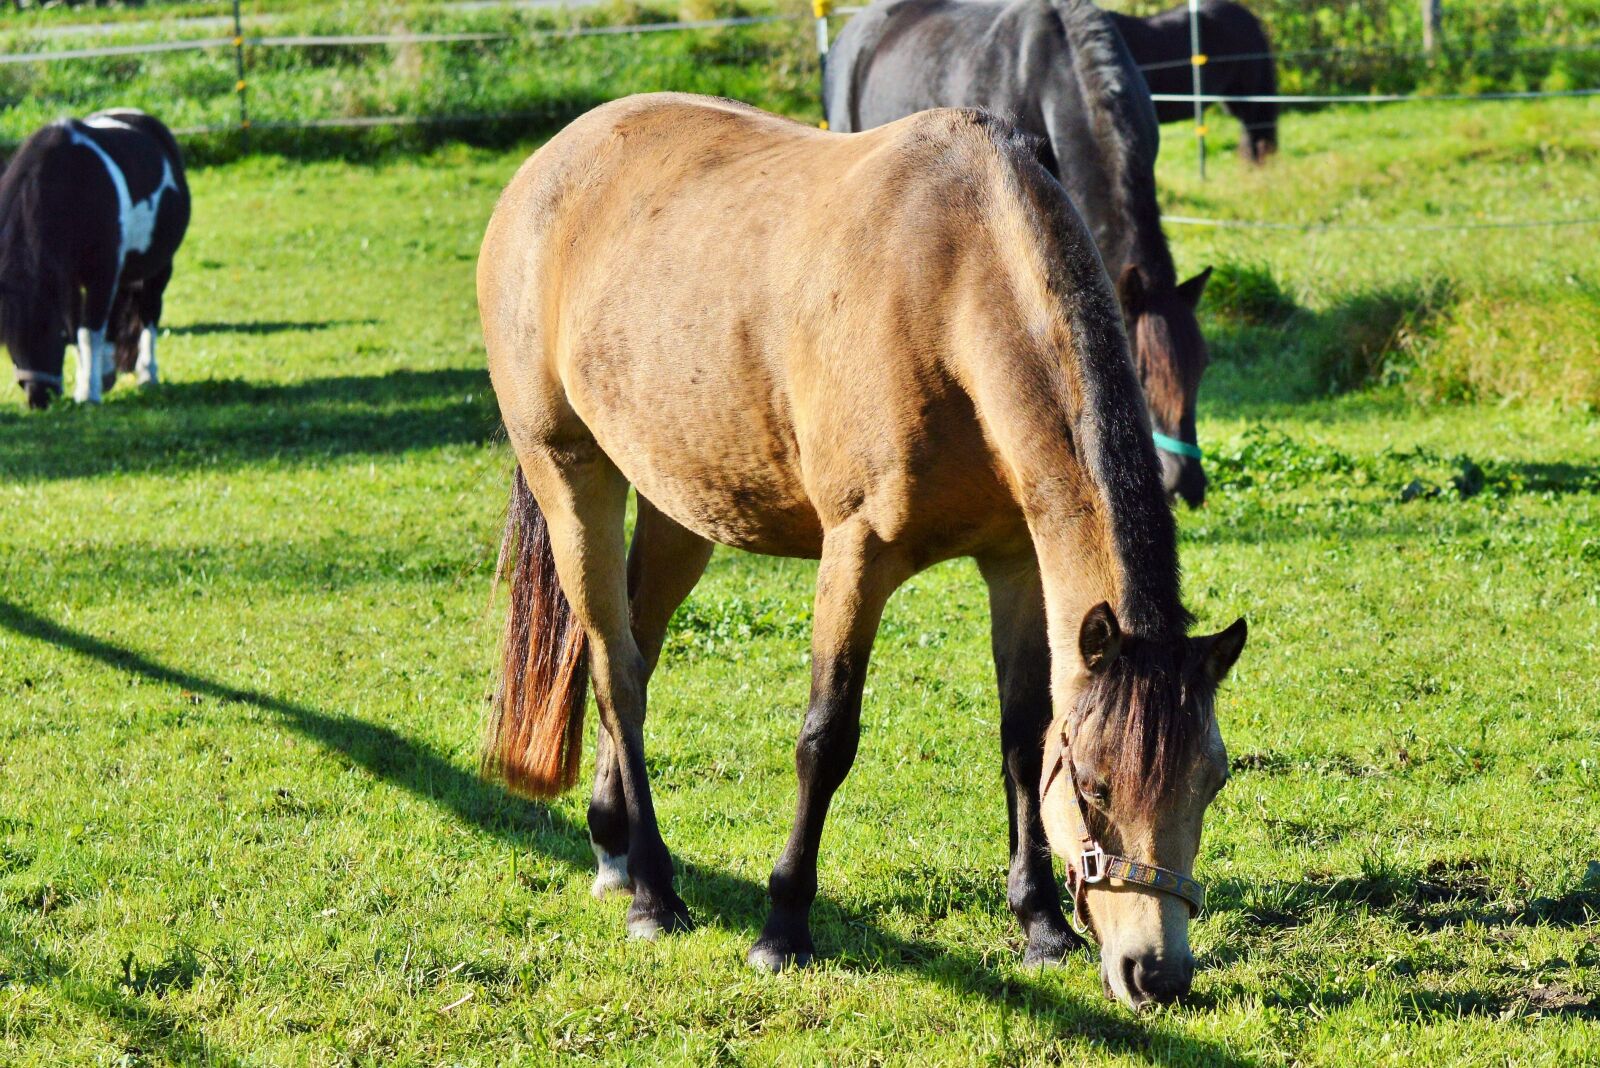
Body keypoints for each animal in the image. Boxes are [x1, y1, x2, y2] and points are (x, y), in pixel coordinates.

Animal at [0, 109, 189, 410]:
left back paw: (147, 374)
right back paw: (107, 372)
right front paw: (88, 384)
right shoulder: (70, 279)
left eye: (52, 332)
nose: (38, 398)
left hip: (159, 267)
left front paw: (88, 394)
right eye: (8, 342)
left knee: (149, 312)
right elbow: (81, 330)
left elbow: (87, 333)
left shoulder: (102, 273)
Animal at [477, 93, 1247, 1009]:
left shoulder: (1017, 564)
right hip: (570, 473)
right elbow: (826, 738)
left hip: (679, 504)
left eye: (1212, 780)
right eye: (1095, 785)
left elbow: (1020, 735)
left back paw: (614, 846)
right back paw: (655, 895)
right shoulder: (857, 555)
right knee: (615, 671)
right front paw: (783, 927)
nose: (1155, 973)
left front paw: (1039, 924)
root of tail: (549, 164)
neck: (954, 284)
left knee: (639, 645)